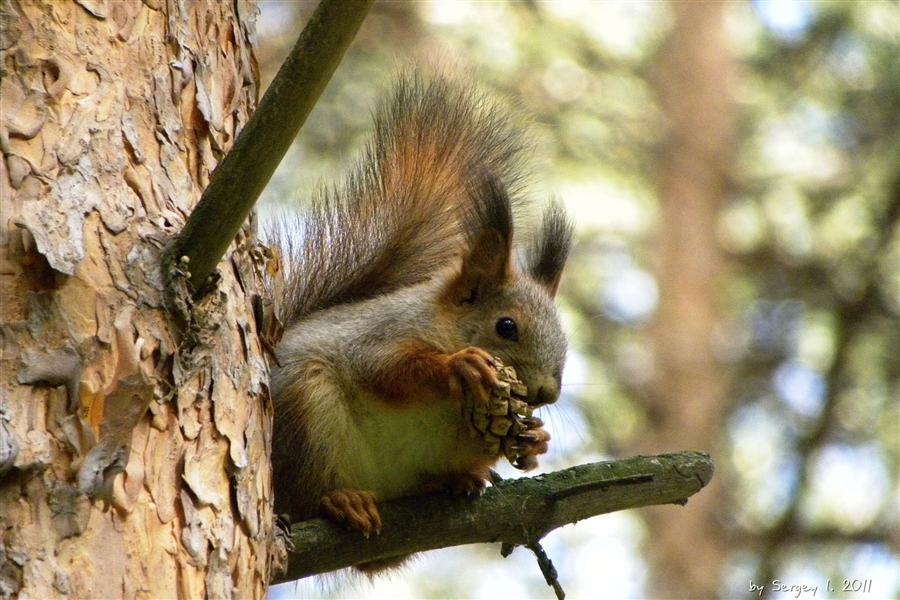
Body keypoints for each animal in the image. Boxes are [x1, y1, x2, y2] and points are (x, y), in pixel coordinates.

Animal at [270, 72, 572, 564]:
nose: (547, 393)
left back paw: (455, 480)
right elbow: (387, 370)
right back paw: (341, 500)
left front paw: (535, 440)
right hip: (302, 407)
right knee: (304, 500)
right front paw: (459, 366)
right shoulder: (377, 336)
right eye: (506, 326)